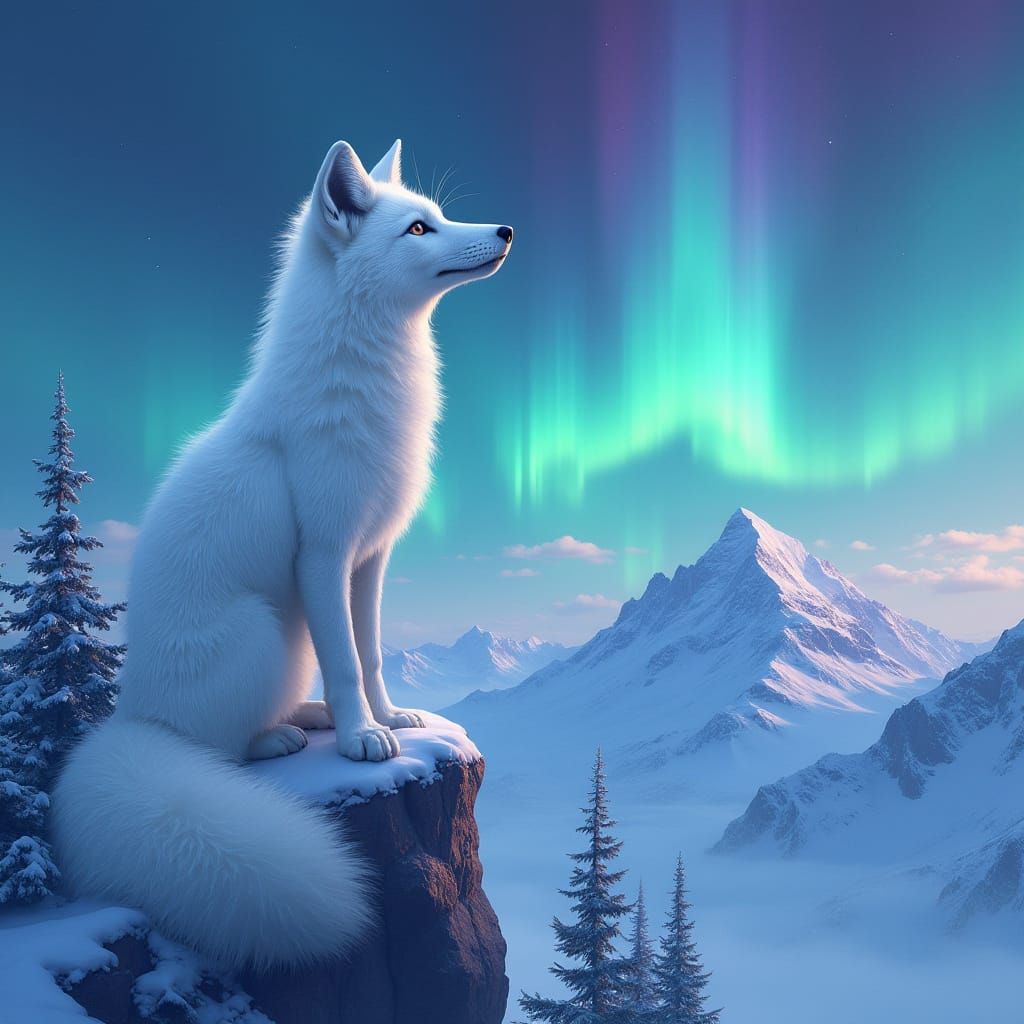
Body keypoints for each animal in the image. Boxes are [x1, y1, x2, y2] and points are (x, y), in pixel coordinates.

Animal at [50, 138, 513, 969]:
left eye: (438, 214)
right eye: (418, 229)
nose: (505, 230)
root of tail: (132, 716)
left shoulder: (372, 556)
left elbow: (369, 651)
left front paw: (387, 717)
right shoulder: (323, 554)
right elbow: (345, 656)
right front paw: (364, 739)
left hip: (286, 636)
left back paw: (310, 713)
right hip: (268, 629)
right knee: (221, 750)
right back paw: (285, 733)